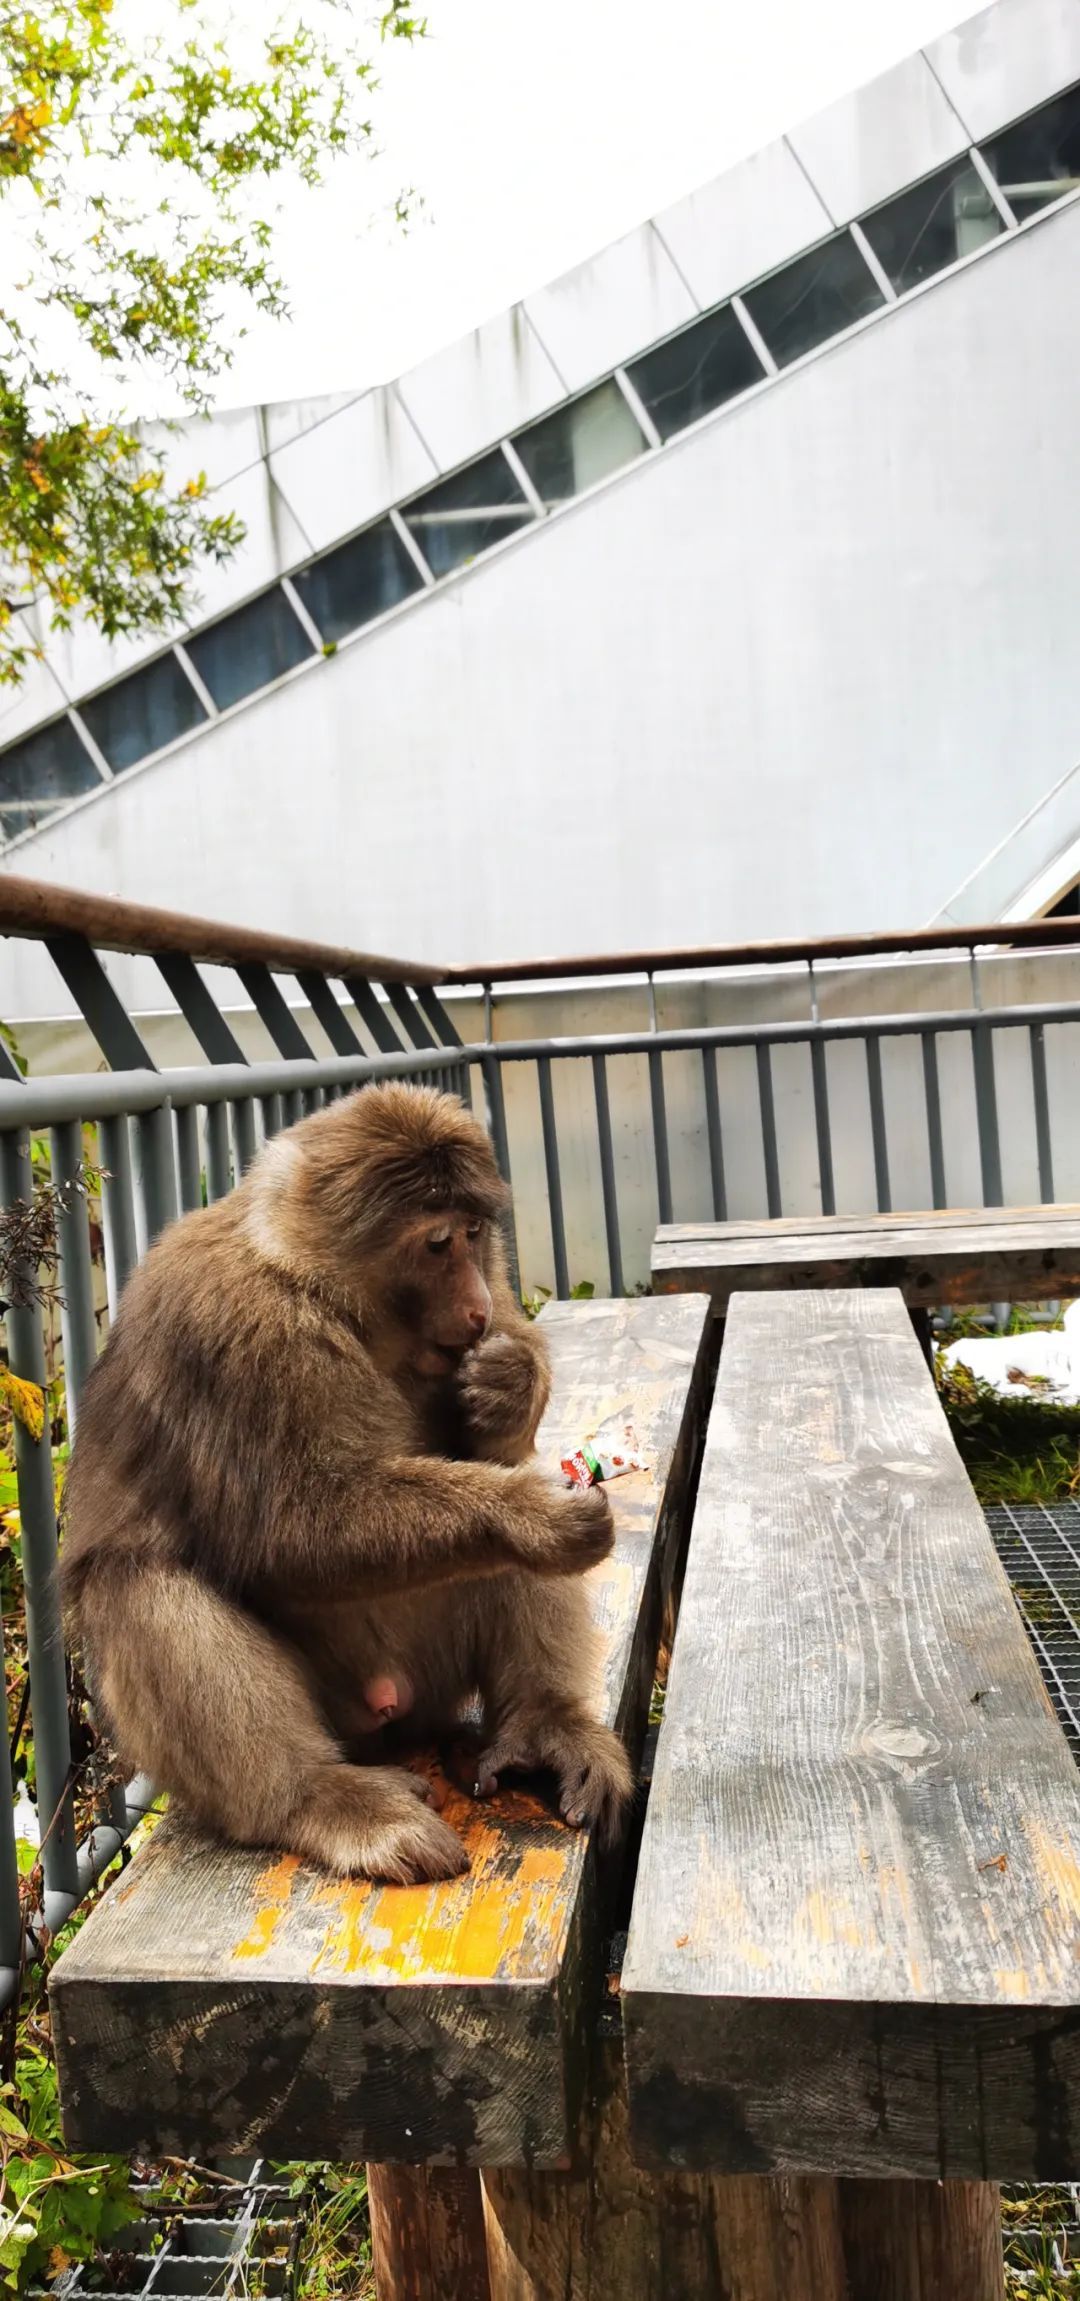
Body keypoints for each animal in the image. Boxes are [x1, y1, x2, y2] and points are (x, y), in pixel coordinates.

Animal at [61, 1086, 630, 1877]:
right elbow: (286, 1533)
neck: (323, 1294)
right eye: (436, 1244)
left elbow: (495, 1436)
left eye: (475, 1232)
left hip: (432, 1671)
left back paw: (544, 1723)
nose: (479, 1307)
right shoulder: (237, 1331)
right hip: (338, 1708)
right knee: (135, 1580)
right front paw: (529, 1515)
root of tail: (390, 1709)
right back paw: (317, 1797)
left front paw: (511, 1380)